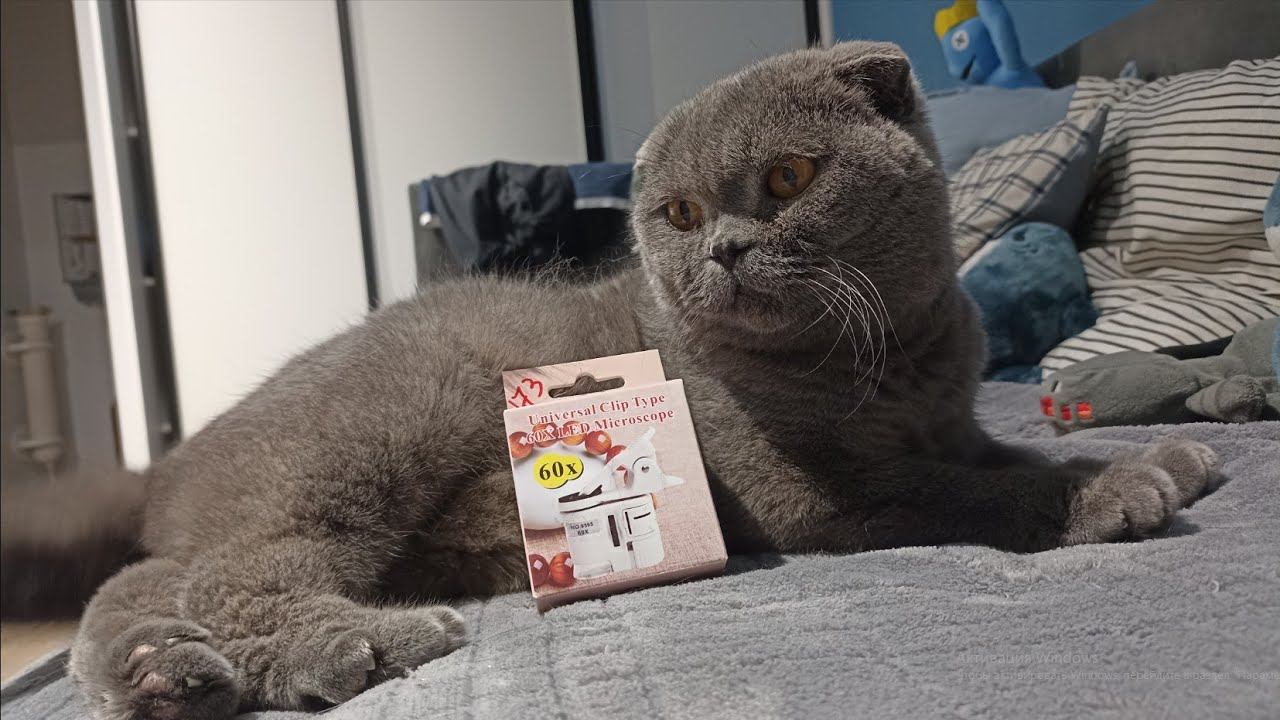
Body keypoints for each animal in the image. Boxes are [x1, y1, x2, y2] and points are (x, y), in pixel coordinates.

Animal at [40, 42, 1214, 720]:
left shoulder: (952, 426)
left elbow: (1007, 452)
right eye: (679, 214)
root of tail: (177, 458)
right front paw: (1112, 492)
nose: (724, 250)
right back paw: (351, 644)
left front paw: (1163, 450)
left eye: (788, 177)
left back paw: (163, 674)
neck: (896, 359)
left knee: (133, 587)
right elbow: (967, 492)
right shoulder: (807, 490)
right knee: (228, 573)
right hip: (376, 427)